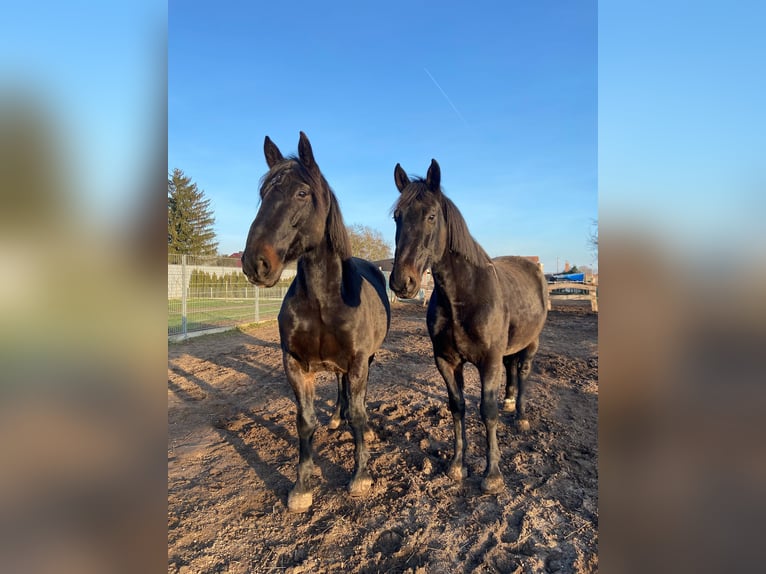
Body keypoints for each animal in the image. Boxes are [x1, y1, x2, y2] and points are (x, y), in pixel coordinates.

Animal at [241, 132, 390, 512]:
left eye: (301, 193)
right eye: (263, 195)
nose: (255, 263)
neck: (325, 300)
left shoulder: (358, 360)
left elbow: (359, 412)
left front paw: (361, 476)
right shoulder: (295, 364)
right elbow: (305, 422)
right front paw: (302, 487)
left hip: (367, 360)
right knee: (340, 389)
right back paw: (337, 417)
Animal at [389, 159, 548, 494]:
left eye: (431, 216)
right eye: (398, 217)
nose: (401, 282)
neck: (465, 295)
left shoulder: (488, 362)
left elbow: (487, 411)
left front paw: (493, 474)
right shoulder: (447, 362)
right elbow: (457, 407)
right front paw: (457, 465)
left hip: (531, 343)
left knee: (523, 372)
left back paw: (521, 416)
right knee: (512, 369)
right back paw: (510, 402)